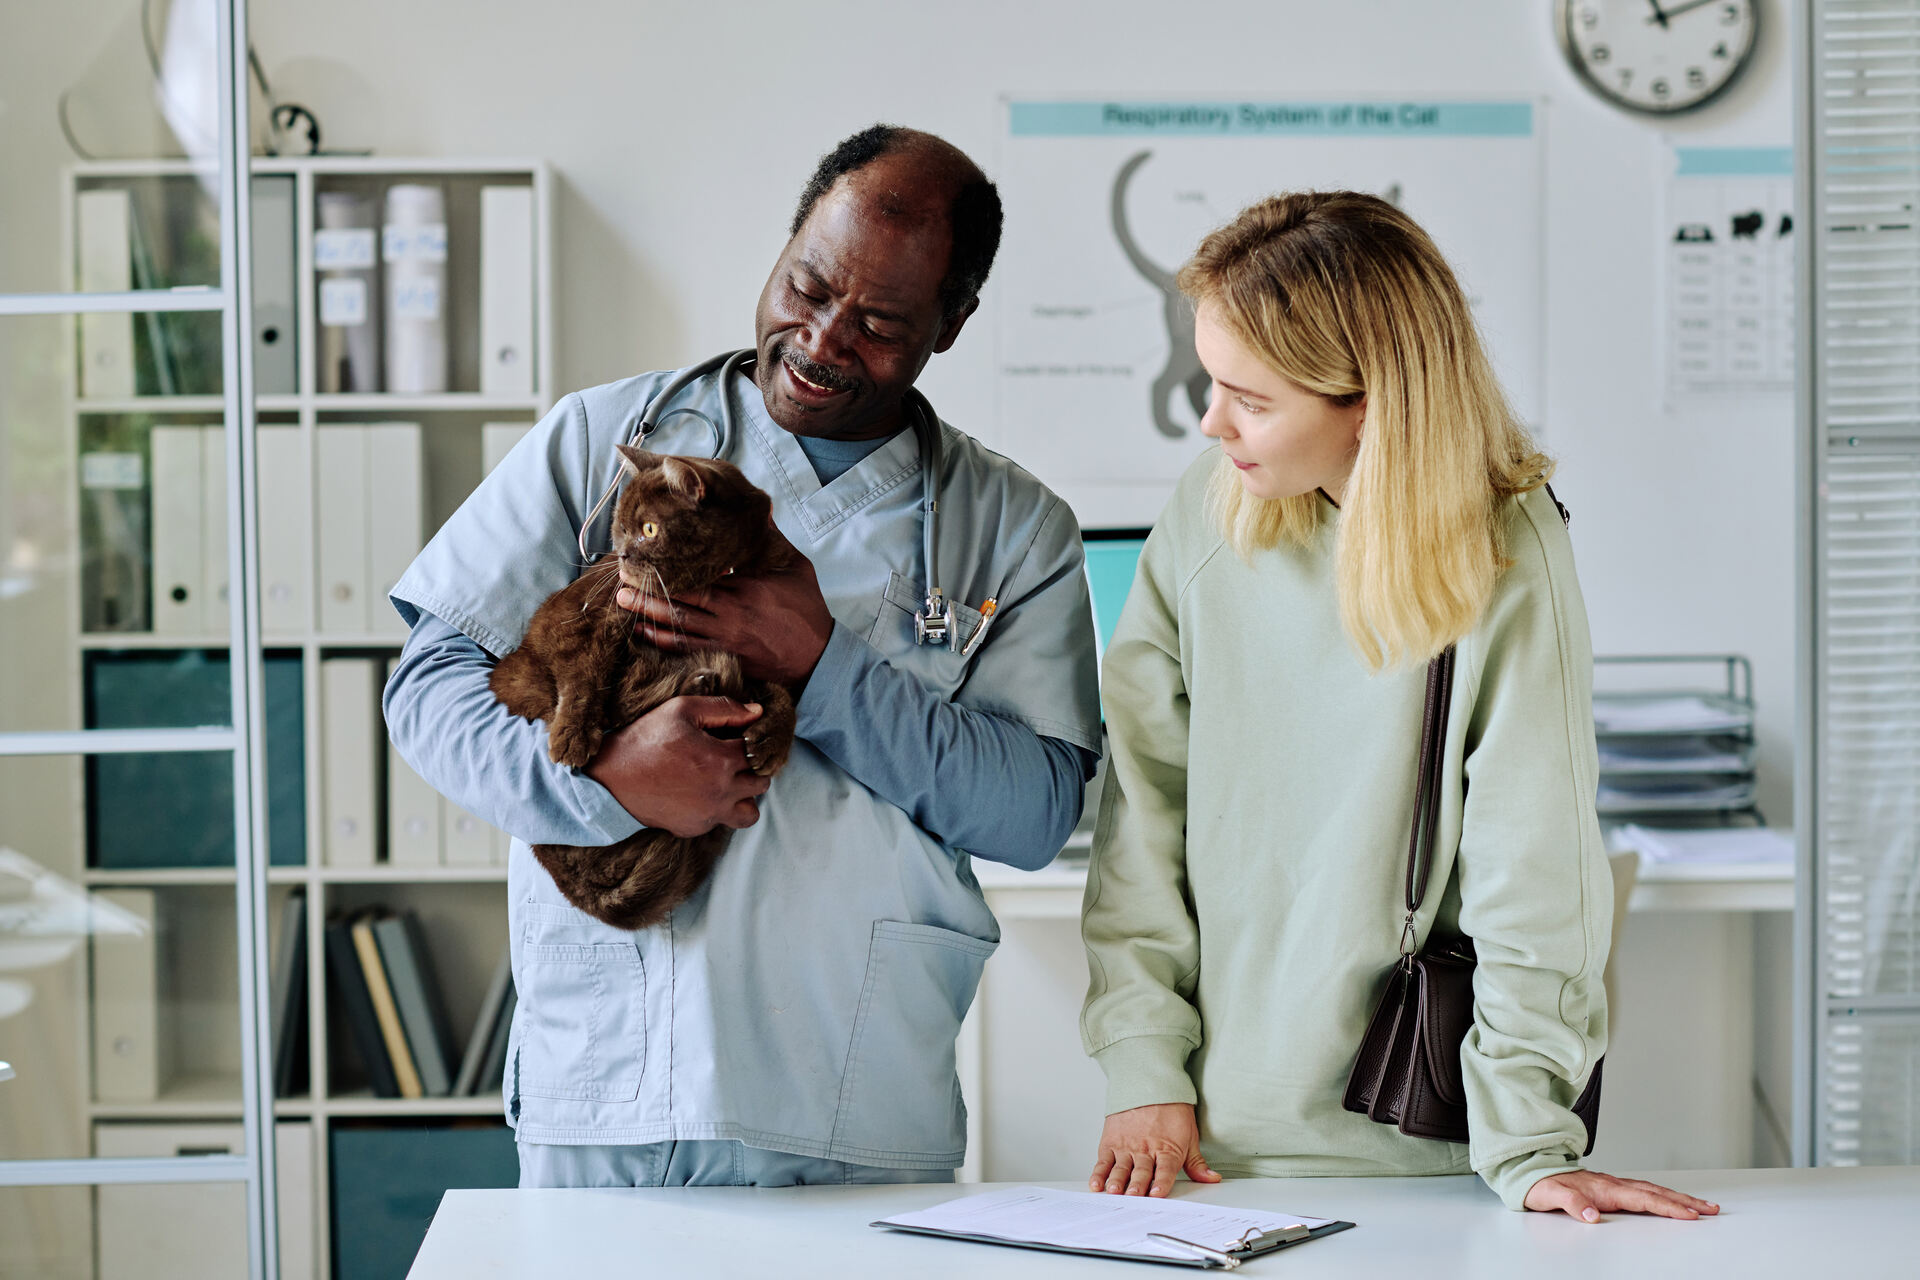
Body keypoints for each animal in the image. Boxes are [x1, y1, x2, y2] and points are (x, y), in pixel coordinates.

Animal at [495, 450, 802, 932]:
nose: (620, 554)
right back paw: (702, 683)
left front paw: (771, 740)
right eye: (619, 526)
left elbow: (782, 693)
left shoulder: (770, 653)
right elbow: (585, 677)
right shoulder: (581, 622)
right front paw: (572, 738)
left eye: (650, 529)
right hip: (528, 672)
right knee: (623, 699)